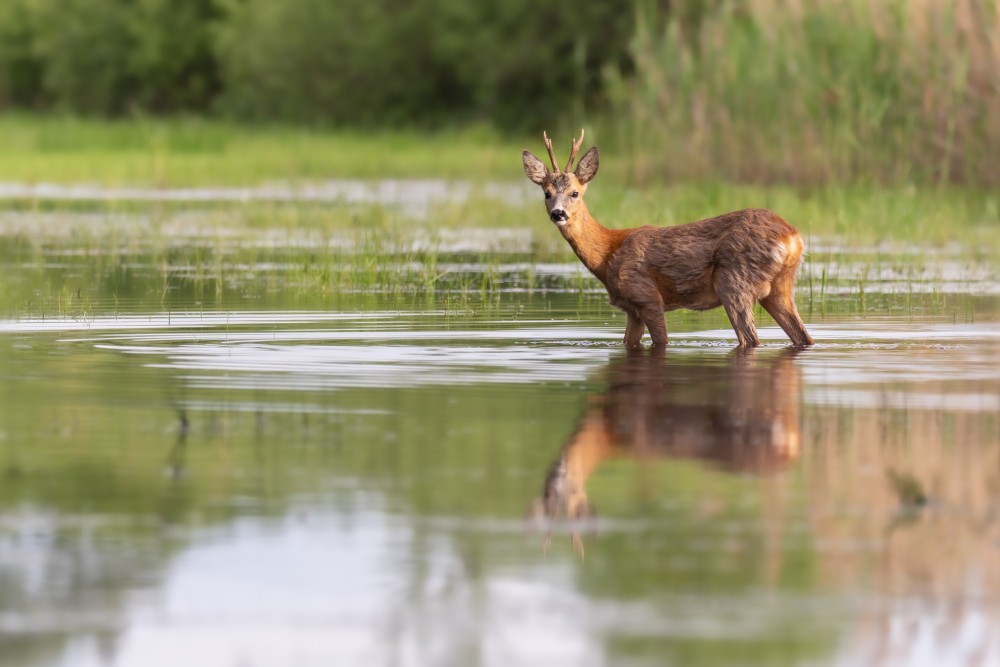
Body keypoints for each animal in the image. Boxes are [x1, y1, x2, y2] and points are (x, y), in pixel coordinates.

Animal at [524, 130, 812, 350]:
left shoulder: (646, 296)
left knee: (750, 339)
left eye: (575, 193)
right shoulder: (632, 309)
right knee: (803, 337)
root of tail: (792, 236)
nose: (558, 213)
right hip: (779, 287)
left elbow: (661, 341)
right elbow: (628, 342)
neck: (608, 254)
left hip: (734, 281)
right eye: (547, 193)